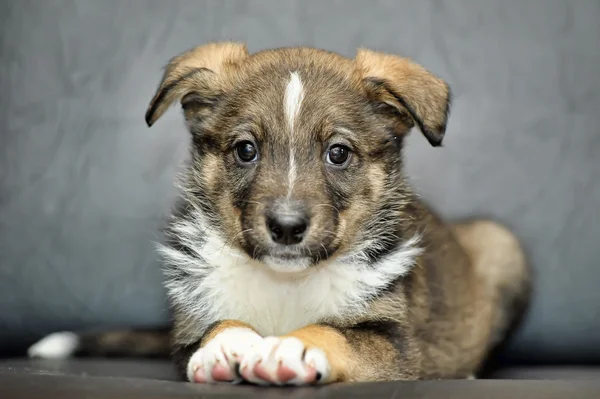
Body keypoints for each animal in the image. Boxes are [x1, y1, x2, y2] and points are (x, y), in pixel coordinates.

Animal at [28, 42, 528, 386]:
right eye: (245, 150)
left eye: (338, 153)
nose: (287, 228)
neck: (286, 281)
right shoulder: (188, 330)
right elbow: (217, 322)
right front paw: (227, 344)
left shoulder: (394, 342)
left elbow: (335, 331)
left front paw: (293, 347)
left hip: (502, 245)